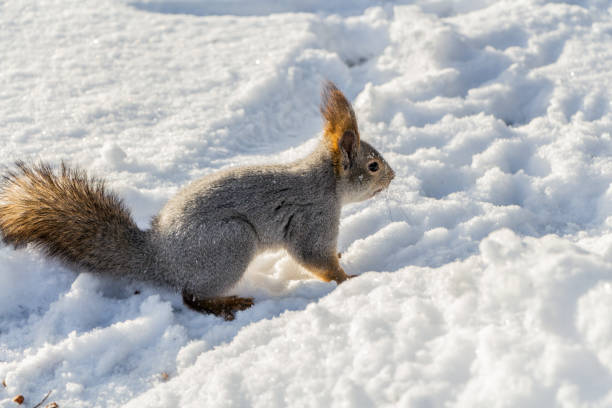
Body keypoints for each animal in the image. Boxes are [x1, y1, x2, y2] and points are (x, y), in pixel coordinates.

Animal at [0, 81, 392, 320]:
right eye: (373, 166)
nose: (393, 176)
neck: (326, 184)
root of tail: (159, 258)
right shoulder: (313, 218)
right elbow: (314, 257)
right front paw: (349, 278)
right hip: (230, 244)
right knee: (191, 297)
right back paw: (229, 302)